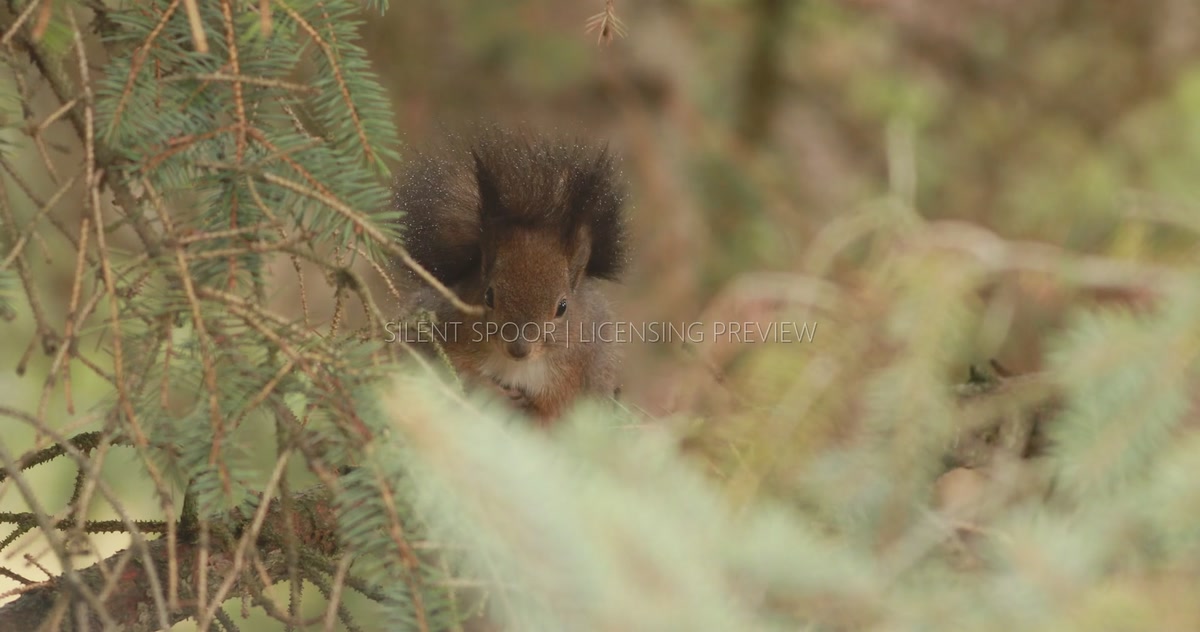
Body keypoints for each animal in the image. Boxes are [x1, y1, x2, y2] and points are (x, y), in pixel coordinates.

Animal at [391, 131, 629, 423]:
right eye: (488, 296)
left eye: (562, 307)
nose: (519, 349)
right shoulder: (436, 332)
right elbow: (454, 373)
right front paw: (494, 394)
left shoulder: (579, 370)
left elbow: (554, 413)